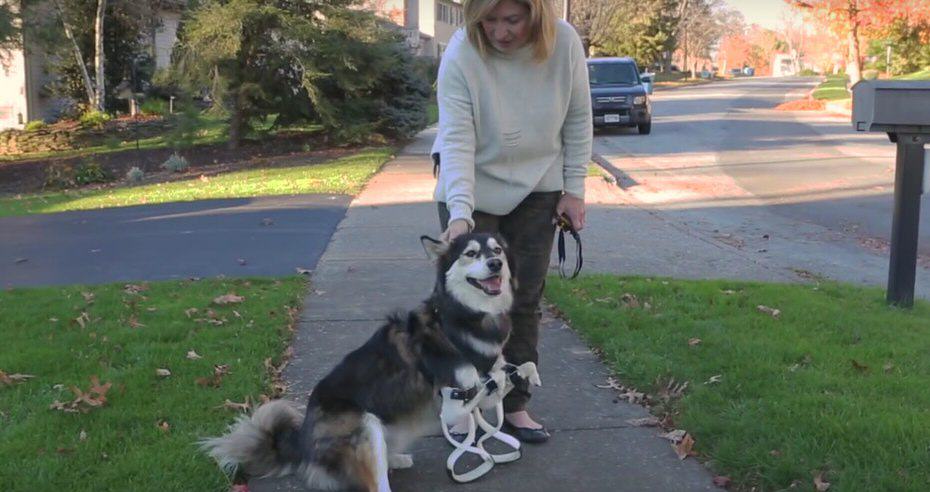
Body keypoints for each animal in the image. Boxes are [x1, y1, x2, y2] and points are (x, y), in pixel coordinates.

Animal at [203, 234, 520, 492]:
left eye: (497, 250)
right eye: (471, 253)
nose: (495, 264)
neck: (461, 319)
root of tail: (304, 444)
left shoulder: (486, 385)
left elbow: (497, 382)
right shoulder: (454, 400)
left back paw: (396, 458)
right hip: (364, 425)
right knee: (374, 483)